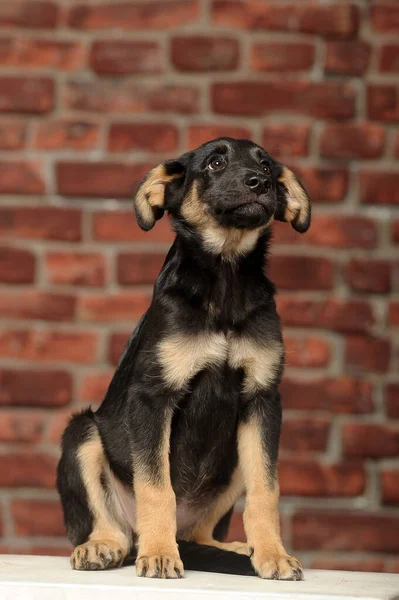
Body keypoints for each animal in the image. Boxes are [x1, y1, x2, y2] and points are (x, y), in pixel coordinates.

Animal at [57, 138, 312, 580]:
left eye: (266, 165)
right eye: (215, 162)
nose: (260, 182)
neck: (226, 277)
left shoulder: (263, 400)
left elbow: (267, 490)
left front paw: (273, 554)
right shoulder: (153, 397)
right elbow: (156, 487)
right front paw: (160, 554)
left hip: (232, 461)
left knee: (199, 533)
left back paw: (233, 547)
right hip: (82, 433)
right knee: (115, 529)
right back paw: (104, 546)